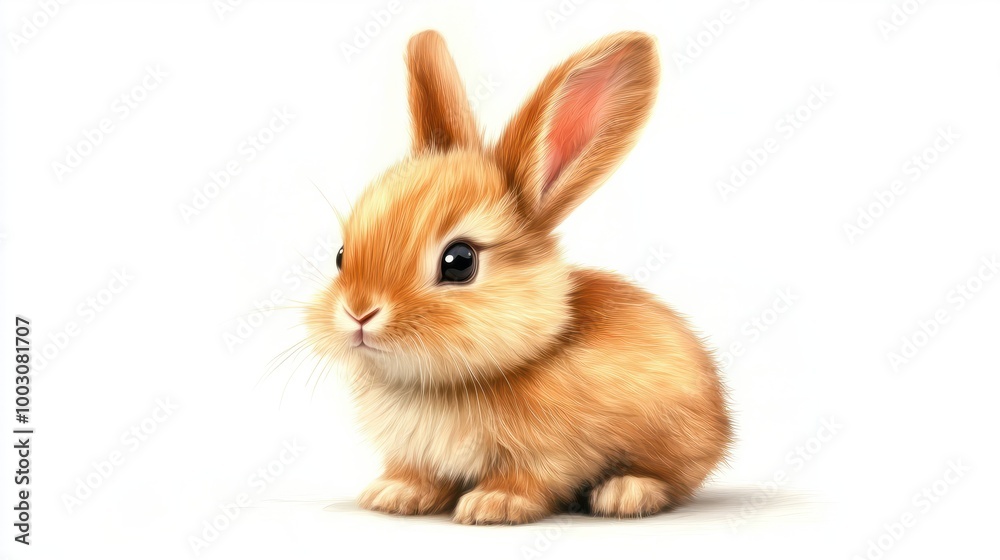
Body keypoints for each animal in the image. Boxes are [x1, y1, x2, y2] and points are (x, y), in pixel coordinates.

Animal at [305, 30, 731, 525]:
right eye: (340, 255)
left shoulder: (551, 454)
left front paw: (493, 505)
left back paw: (626, 492)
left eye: (459, 261)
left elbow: (530, 477)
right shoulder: (418, 454)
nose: (359, 313)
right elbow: (421, 473)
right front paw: (395, 494)